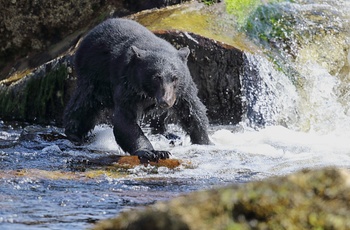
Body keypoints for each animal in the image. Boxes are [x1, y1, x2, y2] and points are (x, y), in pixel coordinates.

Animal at [63, 18, 209, 163]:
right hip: (93, 75)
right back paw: (74, 134)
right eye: (156, 77)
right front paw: (153, 152)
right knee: (84, 104)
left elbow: (192, 111)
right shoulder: (129, 86)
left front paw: (204, 141)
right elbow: (126, 121)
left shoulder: (183, 90)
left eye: (175, 78)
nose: (165, 101)